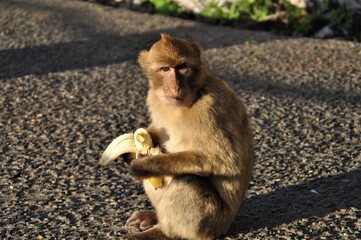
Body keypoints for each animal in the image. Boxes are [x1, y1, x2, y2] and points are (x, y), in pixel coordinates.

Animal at [123, 34, 253, 240]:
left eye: (183, 67)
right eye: (165, 69)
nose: (175, 87)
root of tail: (227, 224)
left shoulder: (211, 108)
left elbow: (226, 161)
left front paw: (143, 165)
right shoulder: (153, 98)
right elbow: (156, 130)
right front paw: (130, 153)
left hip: (213, 223)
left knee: (188, 180)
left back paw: (163, 232)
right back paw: (153, 218)